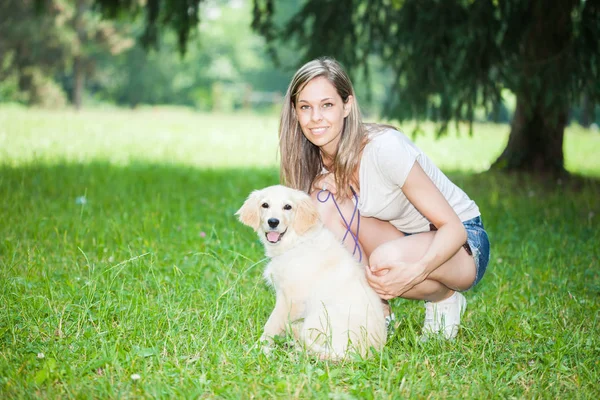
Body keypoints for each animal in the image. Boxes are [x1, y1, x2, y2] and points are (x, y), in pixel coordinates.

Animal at [234, 186, 384, 360]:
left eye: (288, 207)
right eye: (265, 205)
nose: (273, 222)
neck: (296, 242)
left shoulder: (291, 300)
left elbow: (271, 324)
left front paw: (259, 347)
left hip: (317, 317)